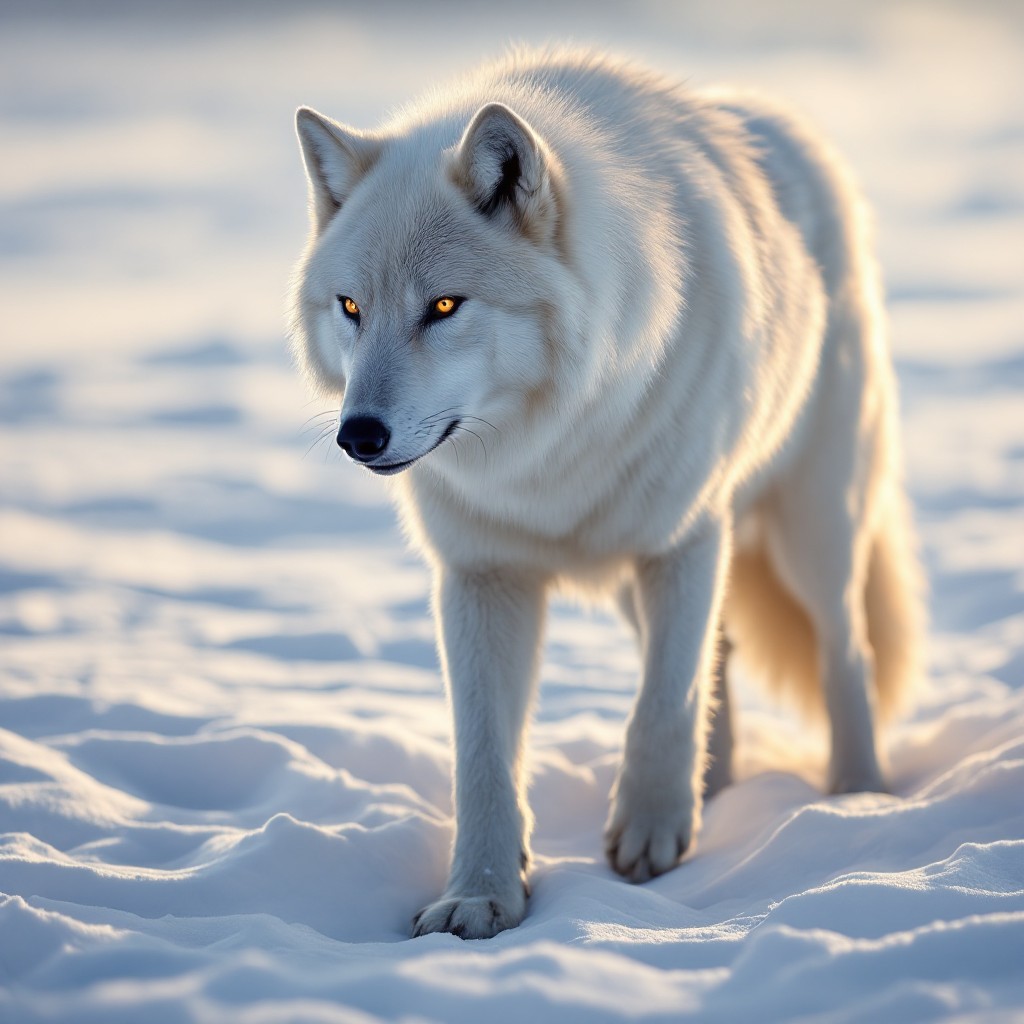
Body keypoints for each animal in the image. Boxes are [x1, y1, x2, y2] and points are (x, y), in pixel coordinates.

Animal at [288, 47, 924, 940]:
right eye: (350, 307)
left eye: (443, 306)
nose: (359, 435)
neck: (545, 458)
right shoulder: (482, 577)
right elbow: (484, 757)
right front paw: (480, 896)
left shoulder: (684, 538)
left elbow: (664, 699)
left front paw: (652, 834)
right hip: (645, 578)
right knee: (722, 652)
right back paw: (717, 784)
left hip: (813, 529)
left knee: (843, 648)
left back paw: (857, 795)